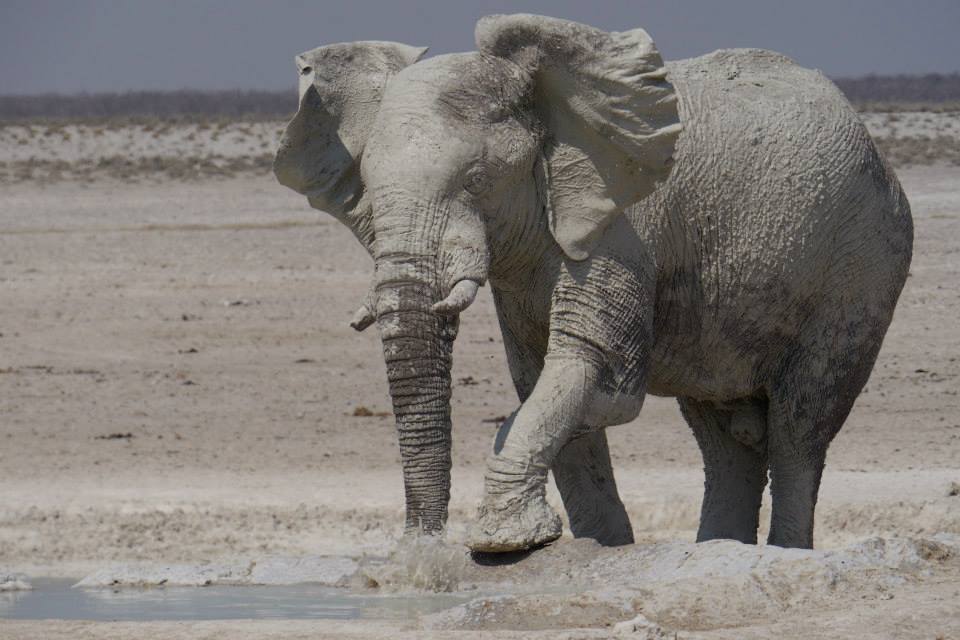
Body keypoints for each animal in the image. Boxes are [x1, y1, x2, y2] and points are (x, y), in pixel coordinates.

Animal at [274, 12, 912, 552]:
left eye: (477, 180)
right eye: (369, 190)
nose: (420, 546)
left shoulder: (622, 229)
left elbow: (588, 369)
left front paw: (504, 541)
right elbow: (537, 378)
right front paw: (588, 545)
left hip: (863, 268)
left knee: (800, 428)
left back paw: (783, 550)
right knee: (723, 441)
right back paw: (719, 549)